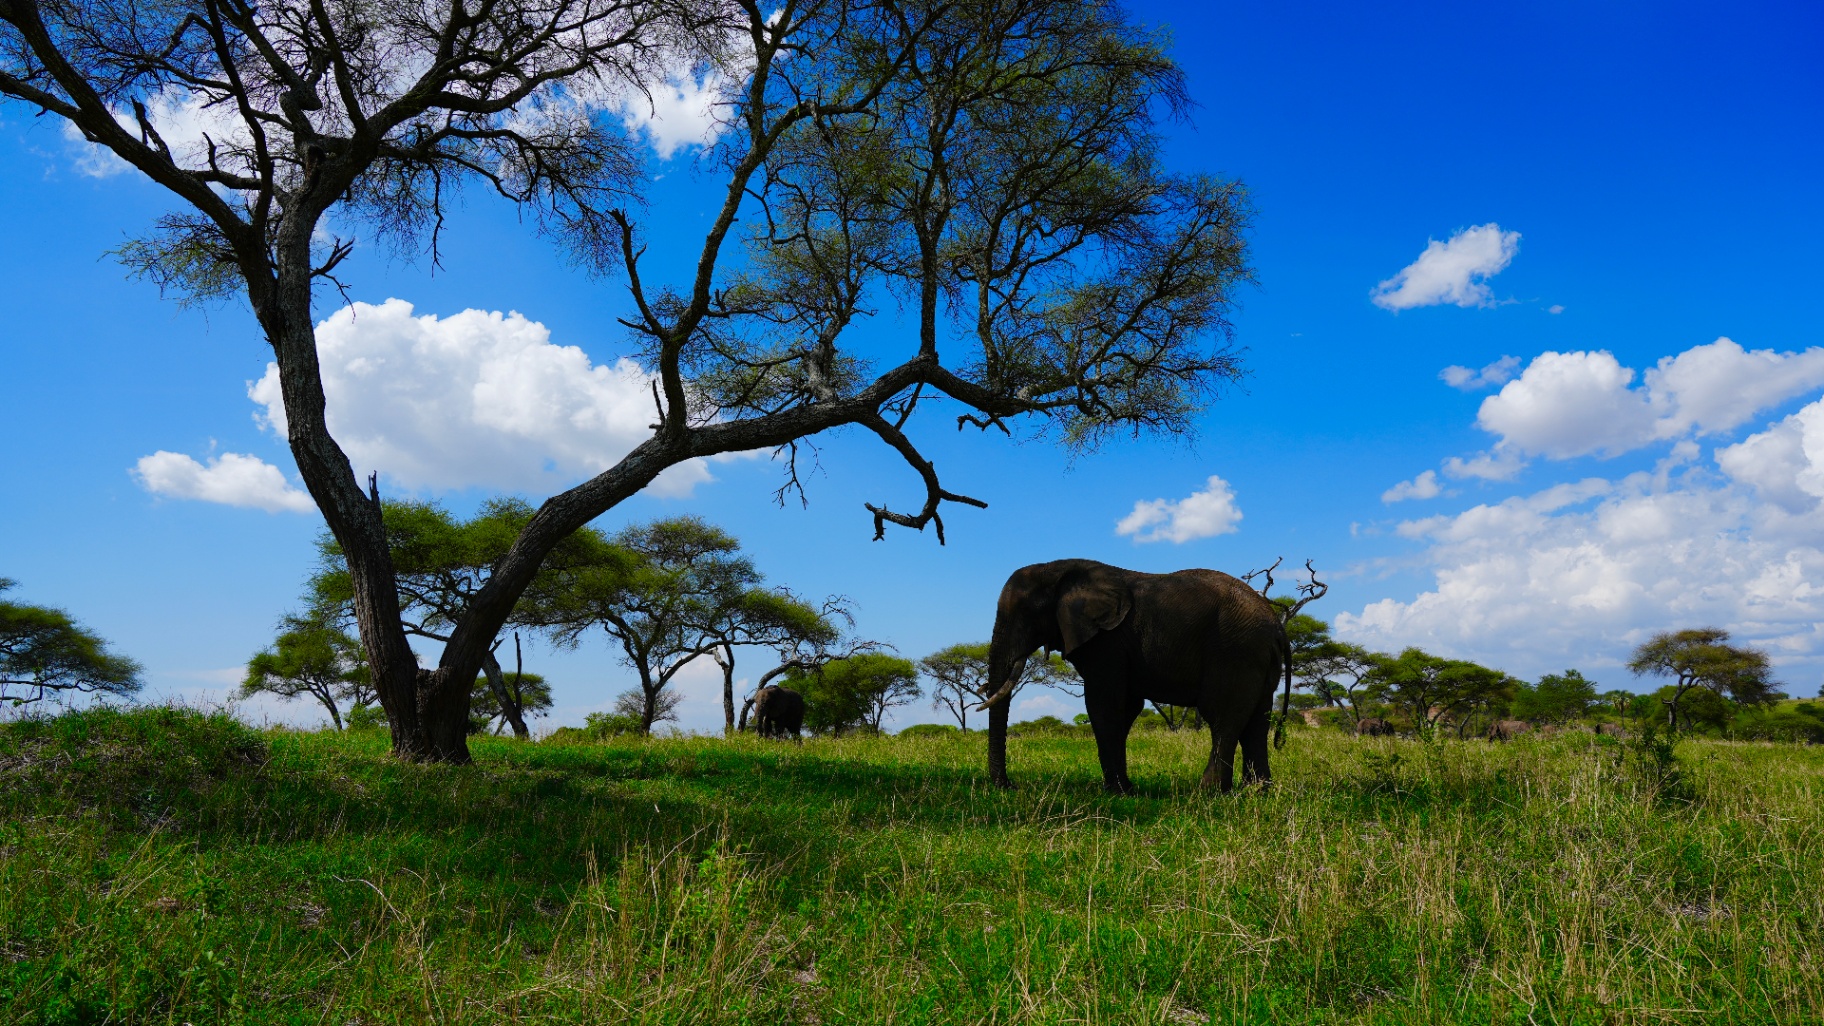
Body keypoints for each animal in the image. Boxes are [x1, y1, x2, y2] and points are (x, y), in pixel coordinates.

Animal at [976, 559, 1290, 794]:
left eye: (1026, 614)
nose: (1009, 786)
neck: (1058, 569)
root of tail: (1276, 625)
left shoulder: (1108, 641)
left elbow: (1103, 706)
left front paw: (1116, 792)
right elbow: (1126, 708)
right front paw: (1126, 789)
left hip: (1235, 651)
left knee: (1222, 717)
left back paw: (1209, 792)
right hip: (1256, 657)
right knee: (1257, 721)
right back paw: (1256, 791)